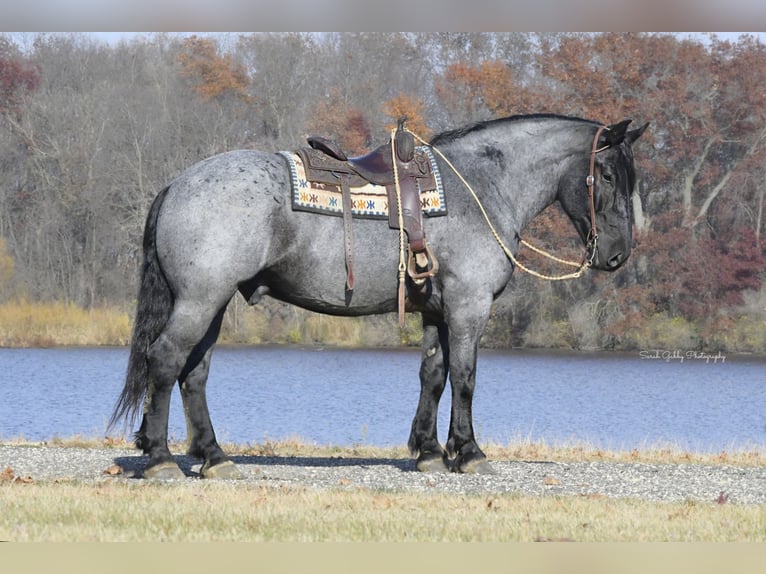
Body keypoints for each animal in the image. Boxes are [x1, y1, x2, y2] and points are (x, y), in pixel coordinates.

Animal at [108, 113, 648, 482]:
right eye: (606, 175)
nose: (617, 254)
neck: (480, 187)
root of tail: (178, 184)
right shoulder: (469, 306)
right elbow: (466, 378)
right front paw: (469, 451)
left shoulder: (438, 310)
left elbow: (433, 375)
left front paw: (429, 451)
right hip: (200, 301)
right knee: (166, 360)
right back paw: (159, 458)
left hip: (213, 304)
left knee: (194, 373)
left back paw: (214, 457)